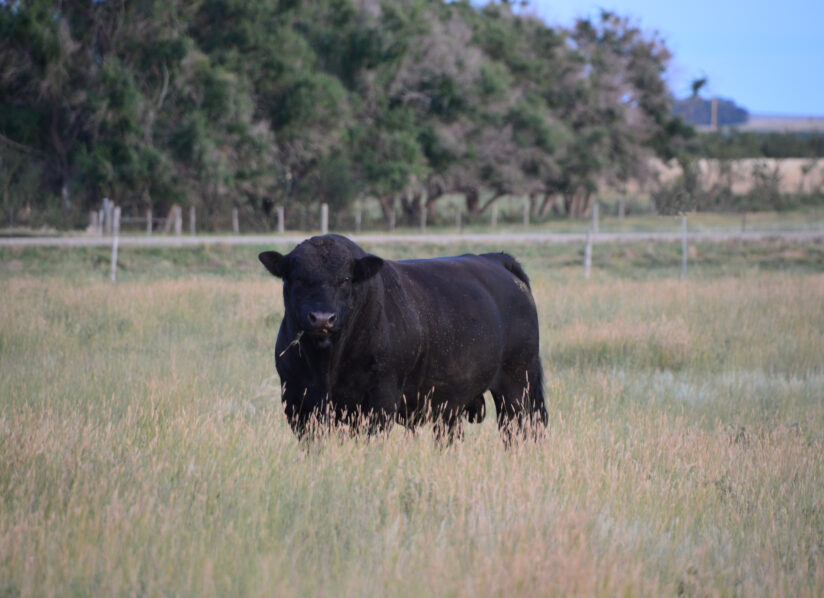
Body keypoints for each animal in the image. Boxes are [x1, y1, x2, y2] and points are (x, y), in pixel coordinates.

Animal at [260, 236, 548, 440]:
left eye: (345, 279)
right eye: (297, 278)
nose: (322, 318)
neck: (328, 364)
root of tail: (495, 259)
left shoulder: (380, 399)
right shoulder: (297, 401)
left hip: (517, 385)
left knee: (518, 432)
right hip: (451, 404)